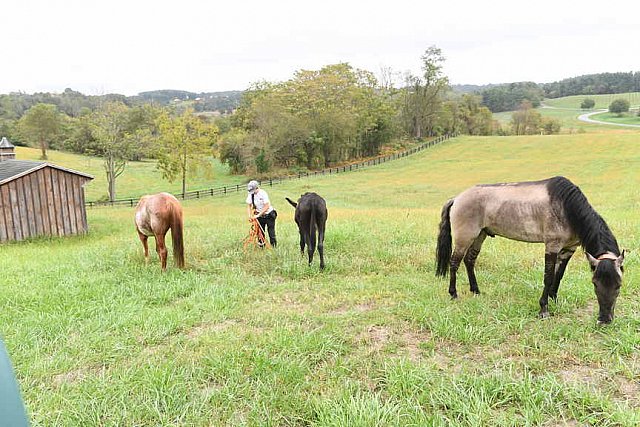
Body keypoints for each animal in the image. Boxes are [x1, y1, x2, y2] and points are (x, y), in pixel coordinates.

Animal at [436, 177, 624, 324]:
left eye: (619, 285)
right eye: (595, 283)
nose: (605, 320)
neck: (567, 208)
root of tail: (457, 198)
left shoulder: (568, 249)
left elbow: (558, 276)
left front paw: (554, 299)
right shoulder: (552, 246)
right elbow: (548, 278)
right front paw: (544, 310)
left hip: (480, 235)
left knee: (469, 260)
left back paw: (475, 290)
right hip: (465, 237)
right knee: (454, 263)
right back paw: (453, 294)